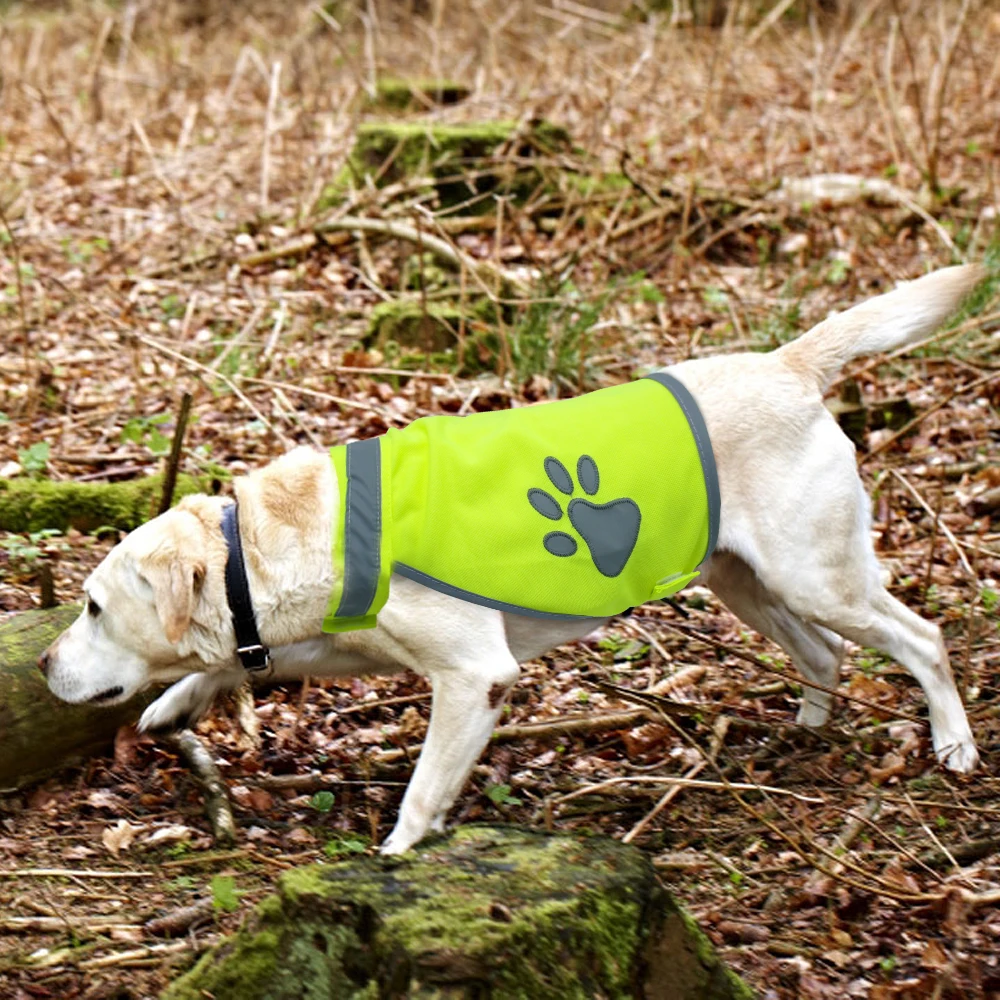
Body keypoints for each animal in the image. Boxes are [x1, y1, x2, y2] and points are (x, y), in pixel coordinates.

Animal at [41, 264, 984, 852]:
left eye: (91, 607)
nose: (44, 664)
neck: (279, 542)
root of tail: (788, 362)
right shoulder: (328, 640)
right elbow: (244, 662)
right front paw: (179, 701)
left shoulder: (474, 676)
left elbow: (425, 785)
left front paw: (398, 853)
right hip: (744, 582)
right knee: (825, 654)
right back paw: (805, 730)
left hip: (815, 576)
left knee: (921, 637)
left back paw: (954, 745)